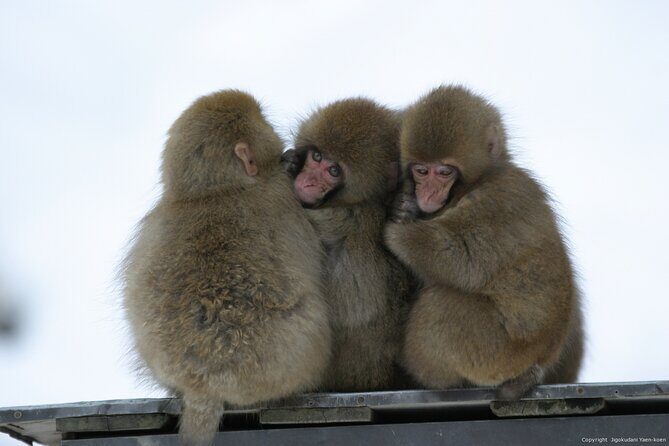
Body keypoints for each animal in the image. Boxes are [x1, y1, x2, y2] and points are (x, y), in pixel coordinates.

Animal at [384, 85, 584, 399]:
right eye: (421, 171)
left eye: (444, 172)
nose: (427, 194)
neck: (480, 180)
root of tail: (540, 360)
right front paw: (404, 209)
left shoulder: (496, 202)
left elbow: (460, 258)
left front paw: (397, 231)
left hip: (493, 353)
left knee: (440, 306)